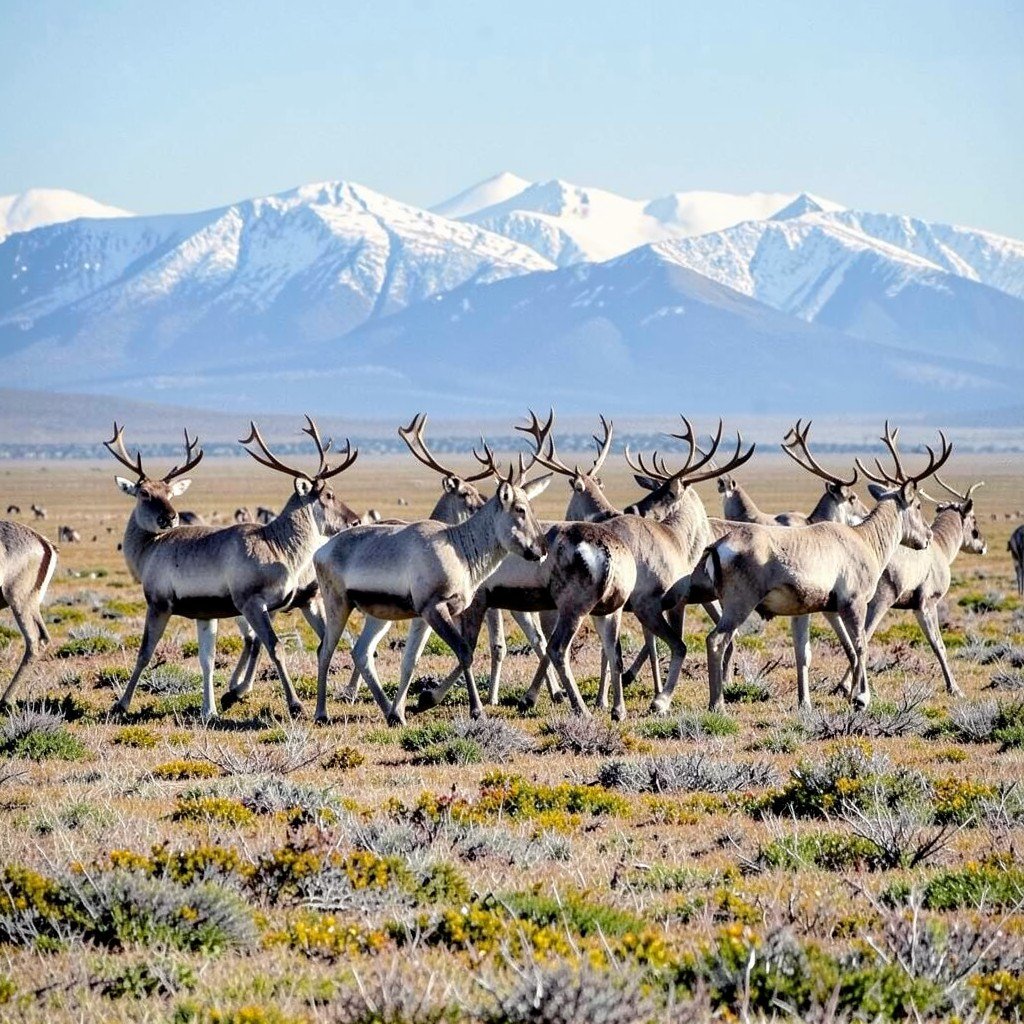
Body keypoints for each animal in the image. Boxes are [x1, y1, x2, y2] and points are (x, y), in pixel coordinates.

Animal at [0, 520, 58, 706]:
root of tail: (42, 541)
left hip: (19, 602)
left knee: (34, 640)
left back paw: (5, 700)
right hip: (31, 604)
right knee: (42, 638)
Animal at [106, 418, 358, 720]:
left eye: (169, 493)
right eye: (144, 493)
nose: (355, 520)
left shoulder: (246, 603)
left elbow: (270, 646)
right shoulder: (191, 607)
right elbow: (197, 657)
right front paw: (210, 708)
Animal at [693, 423, 950, 713]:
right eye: (917, 504)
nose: (928, 536)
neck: (863, 540)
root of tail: (718, 545)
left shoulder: (805, 611)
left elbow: (806, 652)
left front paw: (807, 702)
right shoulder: (853, 603)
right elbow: (860, 645)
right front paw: (860, 698)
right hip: (739, 605)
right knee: (716, 640)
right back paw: (717, 703)